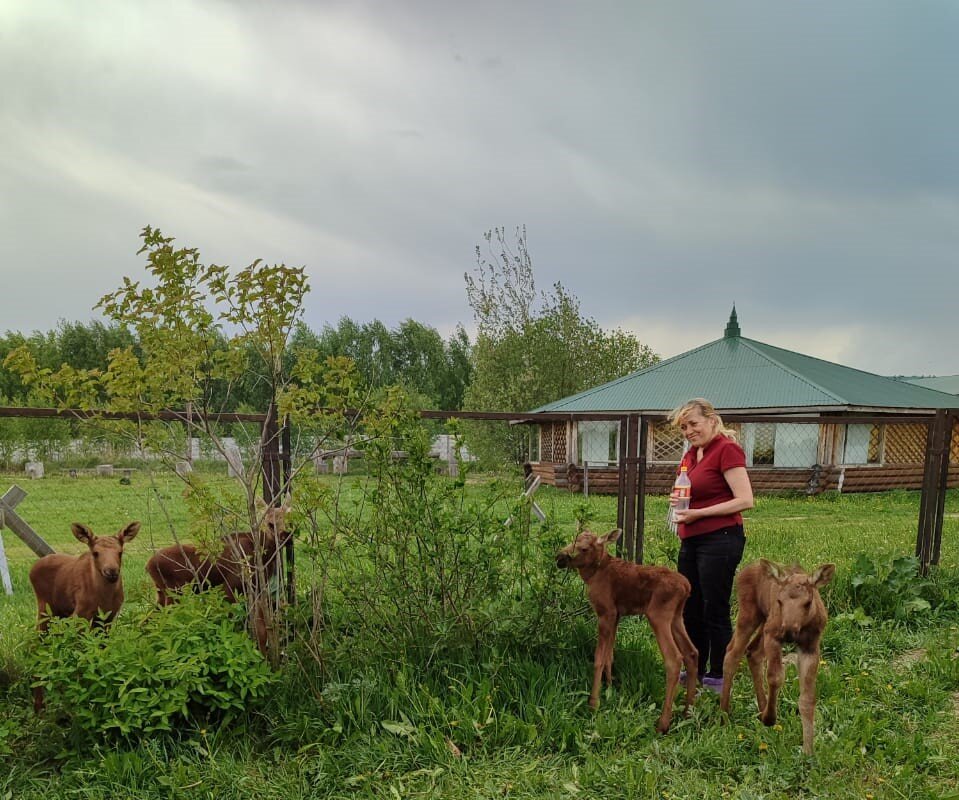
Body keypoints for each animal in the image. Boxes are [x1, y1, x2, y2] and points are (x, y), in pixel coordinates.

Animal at [556, 528, 696, 736]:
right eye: (573, 539)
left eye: (583, 548)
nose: (559, 557)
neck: (593, 574)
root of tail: (687, 587)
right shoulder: (617, 614)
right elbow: (609, 655)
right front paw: (610, 687)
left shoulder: (606, 612)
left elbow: (598, 658)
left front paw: (593, 703)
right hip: (677, 617)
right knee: (691, 652)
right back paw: (688, 711)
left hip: (658, 615)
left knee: (674, 659)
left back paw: (663, 723)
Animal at [720, 560, 832, 752]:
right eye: (779, 601)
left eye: (808, 602)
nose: (788, 632)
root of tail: (745, 570)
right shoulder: (773, 635)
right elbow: (775, 677)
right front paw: (769, 718)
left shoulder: (810, 646)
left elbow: (807, 698)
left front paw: (808, 751)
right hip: (751, 615)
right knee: (732, 653)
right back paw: (725, 714)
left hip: (765, 622)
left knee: (753, 652)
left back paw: (761, 708)